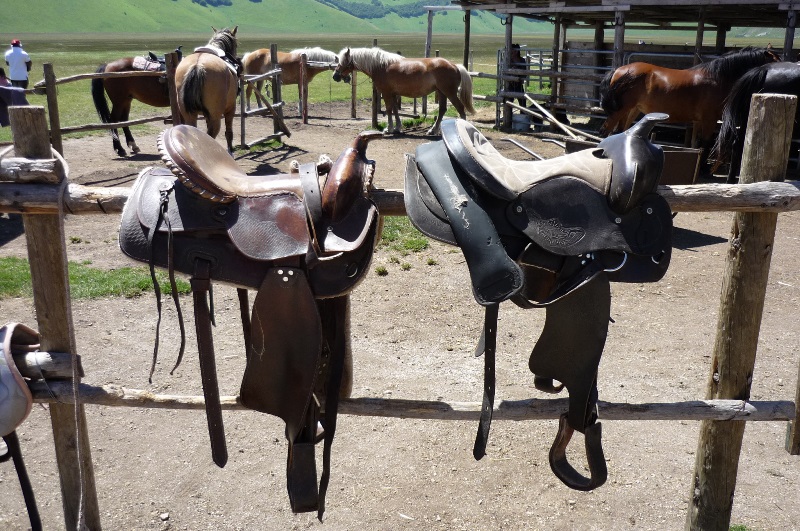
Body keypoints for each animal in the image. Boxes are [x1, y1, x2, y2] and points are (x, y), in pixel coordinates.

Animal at [332, 46, 476, 135]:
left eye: (342, 62)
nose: (335, 76)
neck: (381, 66)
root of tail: (454, 65)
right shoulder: (393, 93)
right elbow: (395, 110)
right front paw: (397, 128)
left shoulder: (386, 92)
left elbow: (389, 109)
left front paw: (389, 129)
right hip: (442, 93)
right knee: (442, 110)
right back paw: (433, 130)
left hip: (449, 93)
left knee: (460, 109)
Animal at [600, 46, 780, 162]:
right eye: (776, 59)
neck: (717, 79)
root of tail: (619, 70)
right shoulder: (709, 120)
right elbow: (705, 144)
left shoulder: (699, 121)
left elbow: (697, 144)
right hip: (622, 110)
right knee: (607, 130)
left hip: (632, 110)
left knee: (620, 131)